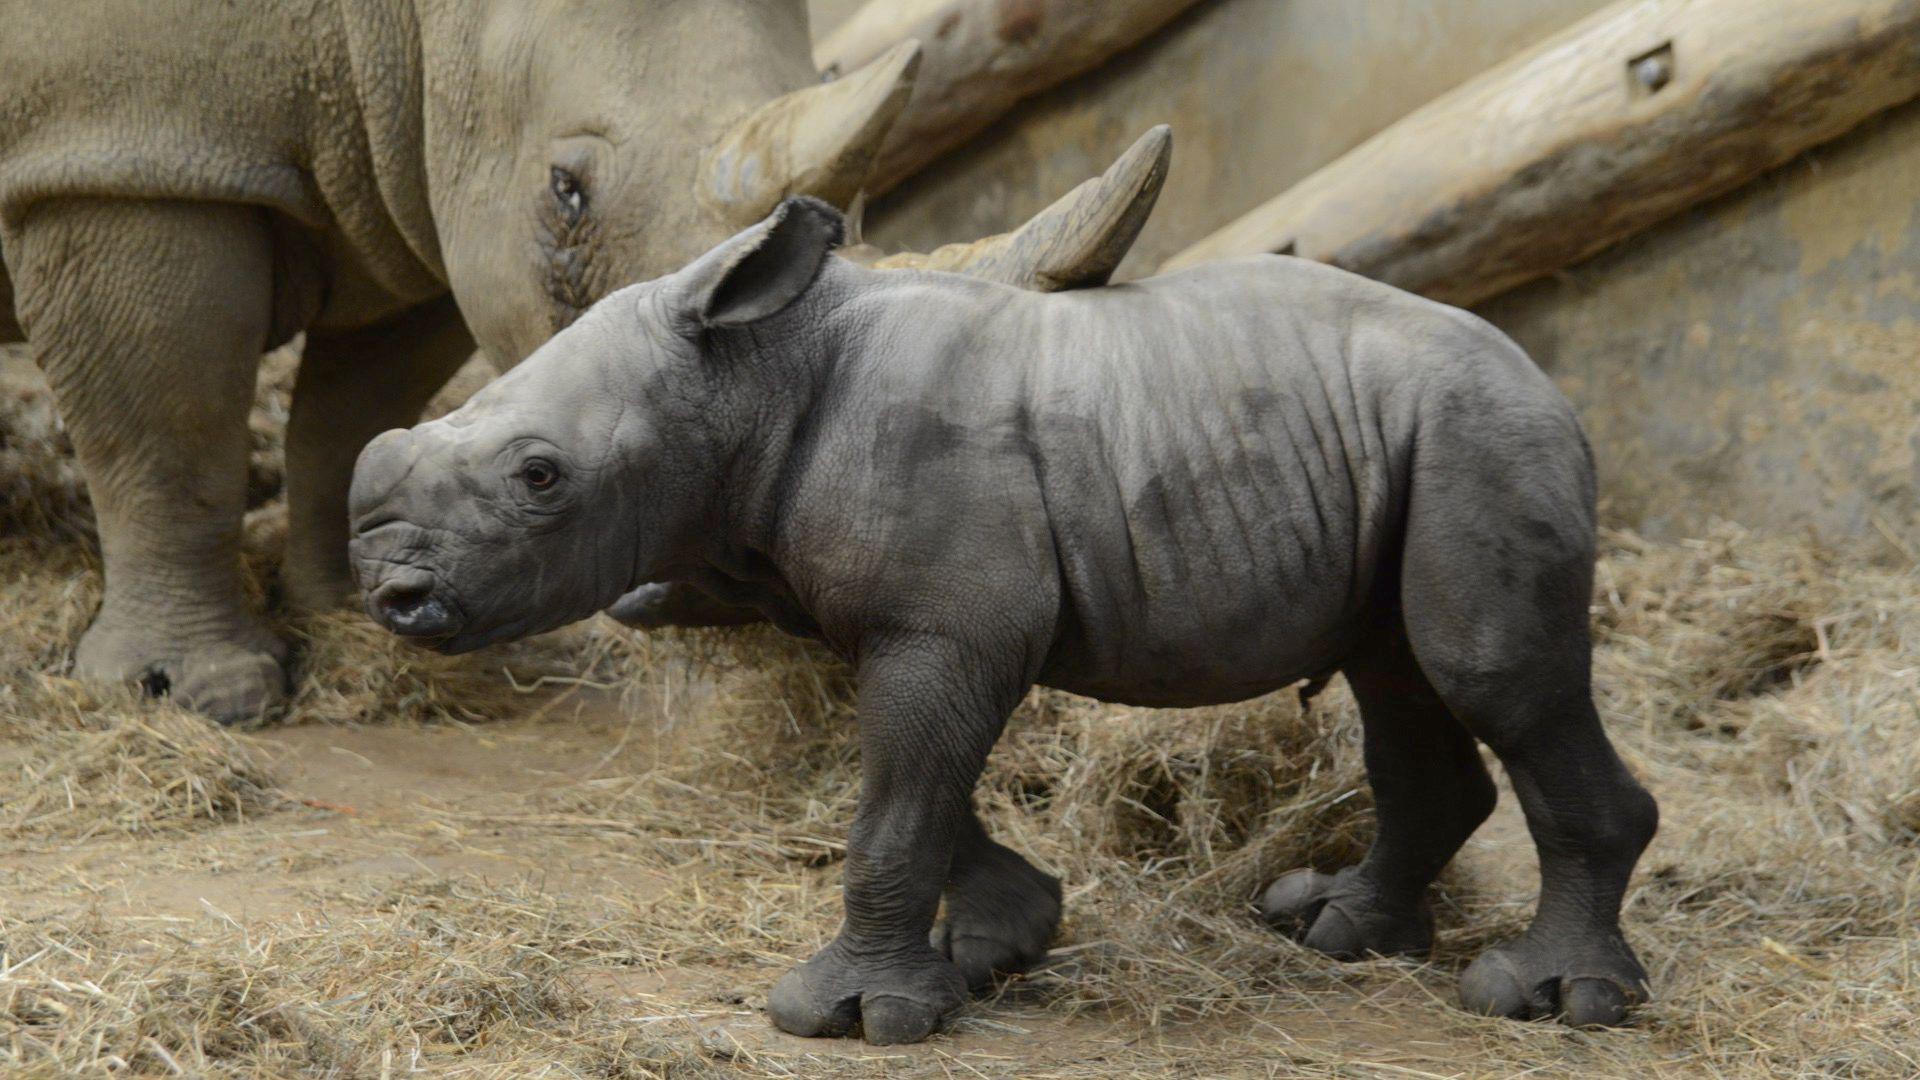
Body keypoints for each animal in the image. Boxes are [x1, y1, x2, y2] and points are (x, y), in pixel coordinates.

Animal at [0, 0, 1168, 722]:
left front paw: (347, 611)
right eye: (567, 192)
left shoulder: (409, 183)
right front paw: (189, 696)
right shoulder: (124, 150)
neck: (392, 24)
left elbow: (349, 413)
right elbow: (168, 428)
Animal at [347, 198, 1661, 1042]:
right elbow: (912, 788)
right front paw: (997, 948)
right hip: (1414, 440)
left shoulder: (947, 624)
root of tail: (1554, 386)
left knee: (1487, 674)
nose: (392, 598)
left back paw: (1546, 1003)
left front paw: (851, 1018)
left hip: (1483, 434)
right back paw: (1332, 930)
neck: (750, 373)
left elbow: (896, 803)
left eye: (539, 477)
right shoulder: (907, 622)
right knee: (1396, 673)